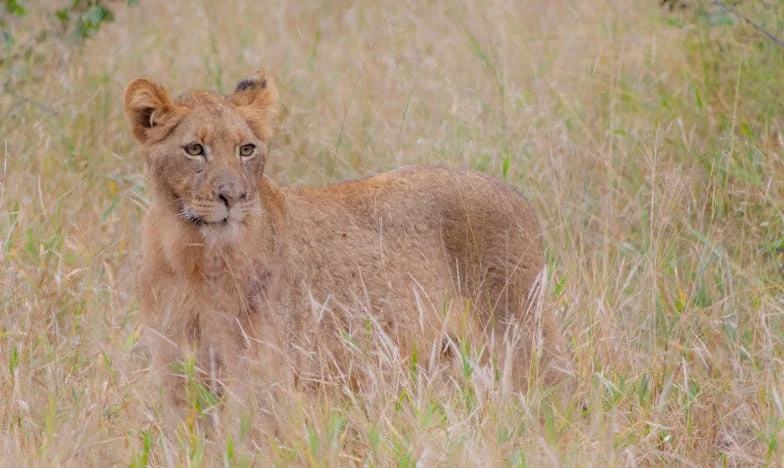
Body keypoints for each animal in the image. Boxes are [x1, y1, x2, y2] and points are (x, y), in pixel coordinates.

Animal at [124, 67, 576, 408]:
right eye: (194, 149)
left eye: (246, 150)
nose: (233, 196)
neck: (191, 256)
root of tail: (514, 194)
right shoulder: (176, 368)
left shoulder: (264, 369)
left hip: (523, 335)